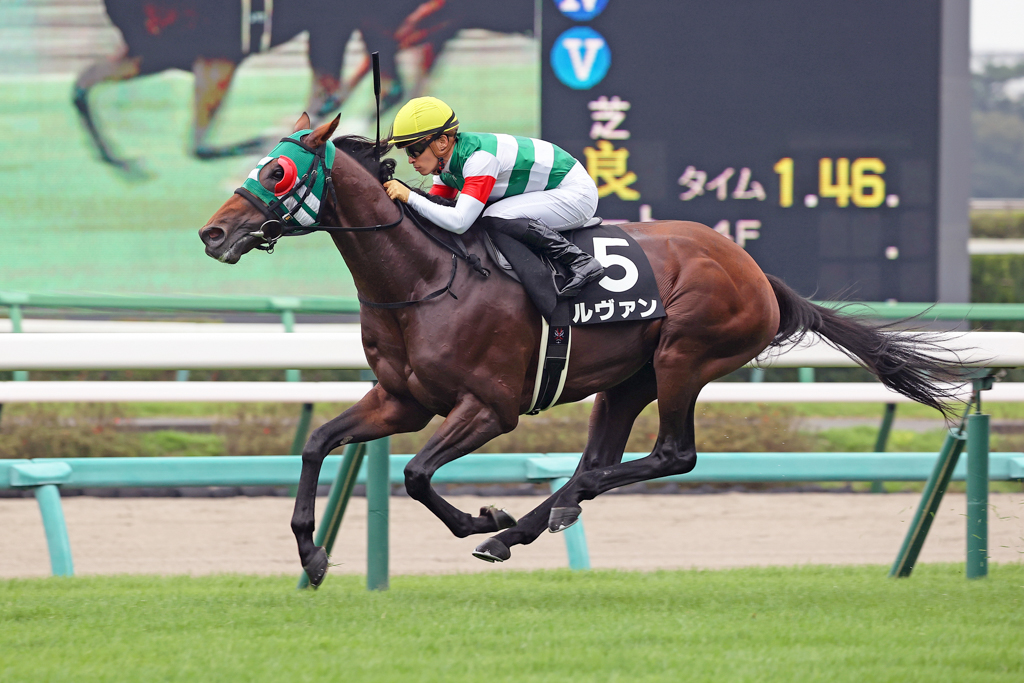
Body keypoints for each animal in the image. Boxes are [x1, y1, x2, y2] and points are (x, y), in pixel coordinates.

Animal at [199, 114, 965, 586]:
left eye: (276, 172)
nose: (212, 234)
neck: (425, 277)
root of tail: (754, 271)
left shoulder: (490, 407)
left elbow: (415, 474)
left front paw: (481, 516)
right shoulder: (403, 398)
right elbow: (317, 442)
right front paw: (312, 553)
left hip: (684, 357)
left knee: (672, 455)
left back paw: (526, 521)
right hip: (626, 377)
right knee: (599, 460)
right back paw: (535, 522)